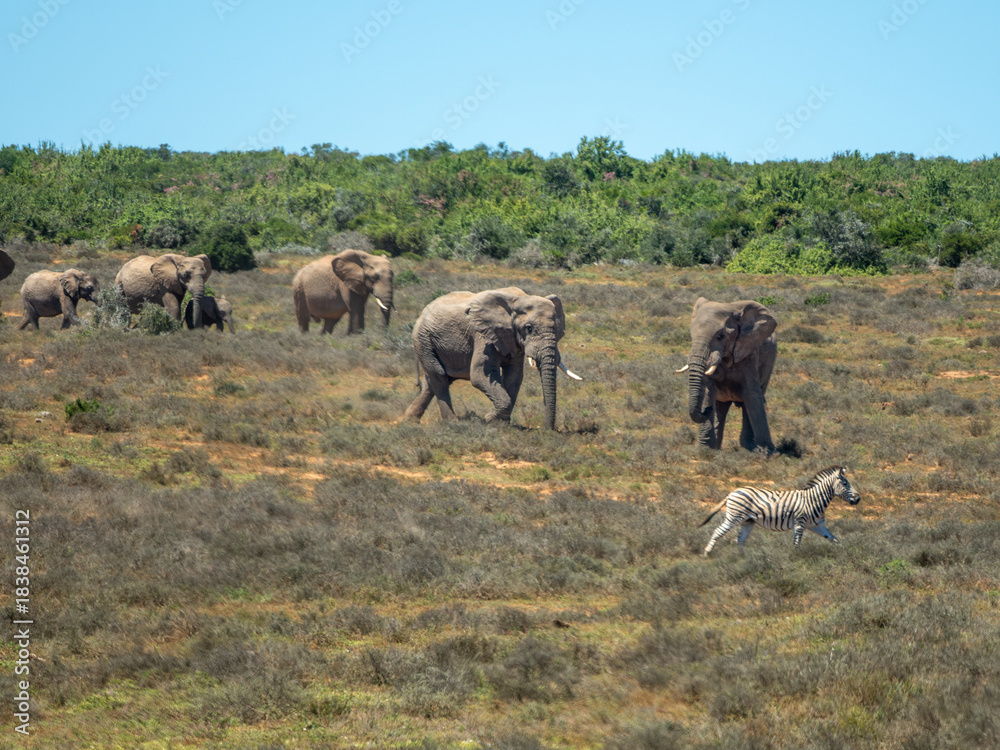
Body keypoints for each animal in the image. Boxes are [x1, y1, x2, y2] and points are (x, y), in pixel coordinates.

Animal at [403, 287, 582, 431]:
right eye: (529, 329)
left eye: (558, 330)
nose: (548, 429)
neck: (519, 298)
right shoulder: (483, 334)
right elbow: (480, 375)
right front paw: (490, 419)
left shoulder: (513, 340)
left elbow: (514, 377)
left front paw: (501, 423)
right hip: (422, 339)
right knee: (438, 375)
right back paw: (453, 423)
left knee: (434, 381)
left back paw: (409, 420)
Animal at [678, 297, 777, 453]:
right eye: (691, 335)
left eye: (721, 336)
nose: (706, 410)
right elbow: (709, 391)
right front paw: (705, 450)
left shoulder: (749, 352)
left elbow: (751, 394)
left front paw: (765, 453)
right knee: (720, 406)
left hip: (769, 362)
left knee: (753, 398)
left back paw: (749, 447)